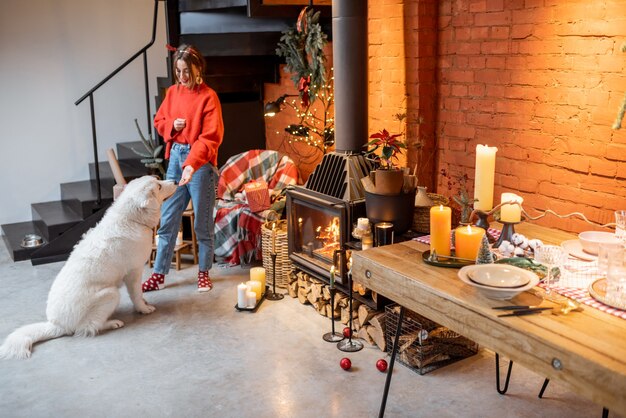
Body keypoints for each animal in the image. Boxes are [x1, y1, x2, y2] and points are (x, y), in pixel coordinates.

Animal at [0, 175, 176, 358]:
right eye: (158, 186)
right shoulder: (133, 273)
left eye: (158, 180)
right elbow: (136, 295)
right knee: (88, 327)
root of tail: (56, 324)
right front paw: (143, 308)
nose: (176, 182)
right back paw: (112, 323)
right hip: (111, 294)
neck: (131, 219)